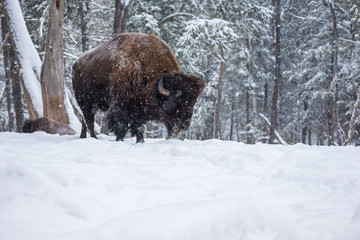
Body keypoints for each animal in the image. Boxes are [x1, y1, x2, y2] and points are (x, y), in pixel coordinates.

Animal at [72, 33, 205, 143]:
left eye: (193, 102)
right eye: (174, 100)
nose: (184, 126)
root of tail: (77, 63)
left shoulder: (139, 110)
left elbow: (139, 128)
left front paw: (140, 141)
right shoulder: (121, 106)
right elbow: (121, 126)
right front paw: (120, 140)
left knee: (84, 120)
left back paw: (83, 137)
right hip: (85, 102)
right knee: (89, 120)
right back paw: (93, 138)